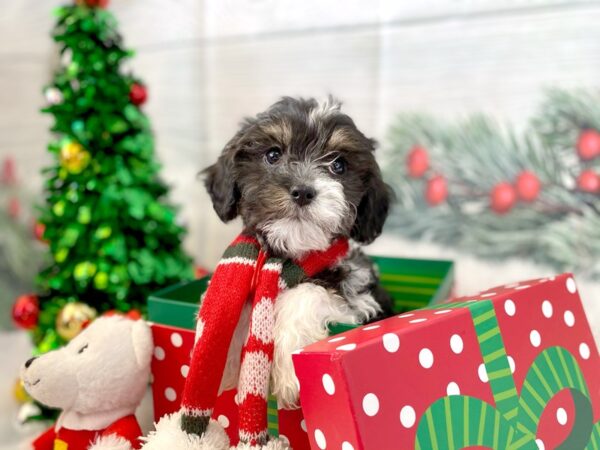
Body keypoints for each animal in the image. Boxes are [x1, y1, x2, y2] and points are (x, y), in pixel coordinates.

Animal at [204, 96, 396, 410]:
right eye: (272, 155)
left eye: (338, 165)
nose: (303, 191)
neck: (286, 258)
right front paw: (224, 364)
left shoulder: (361, 300)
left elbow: (307, 294)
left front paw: (289, 373)